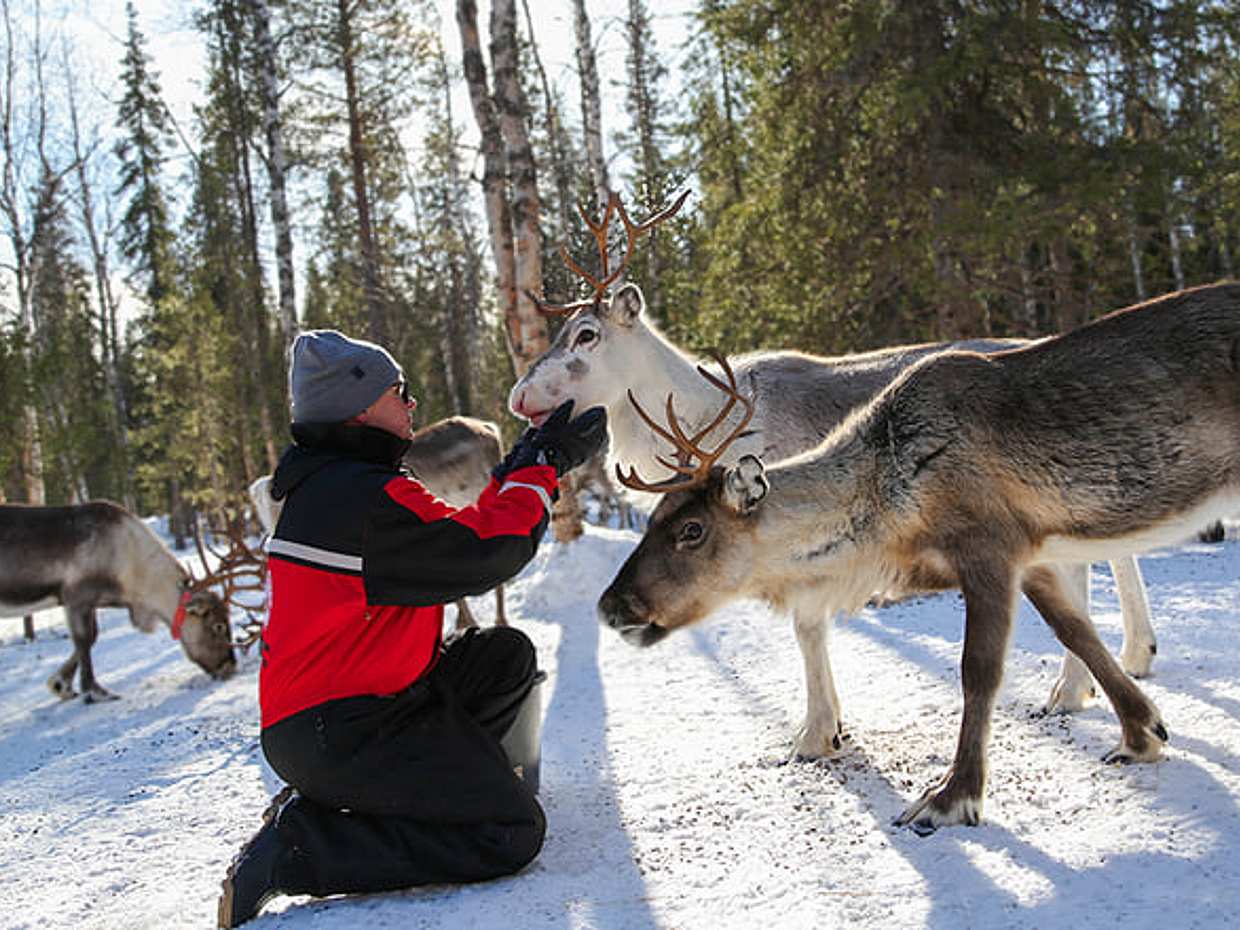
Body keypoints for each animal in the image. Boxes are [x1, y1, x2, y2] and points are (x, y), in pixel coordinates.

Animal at [0, 500, 246, 702]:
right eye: (218, 626)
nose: (230, 666)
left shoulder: (93, 601)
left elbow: (92, 637)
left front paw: (61, 685)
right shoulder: (76, 597)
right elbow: (83, 639)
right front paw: (94, 691)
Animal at [509, 191, 1158, 757]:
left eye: (586, 335)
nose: (517, 396)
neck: (694, 414)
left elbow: (807, 626)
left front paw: (818, 733)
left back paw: (1078, 683)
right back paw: (1132, 655)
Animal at [598, 281, 1240, 833]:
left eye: (692, 530)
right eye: (653, 519)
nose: (610, 605)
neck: (888, 497)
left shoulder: (987, 548)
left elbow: (979, 671)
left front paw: (952, 796)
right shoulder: (1031, 555)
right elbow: (1077, 631)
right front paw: (1142, 732)